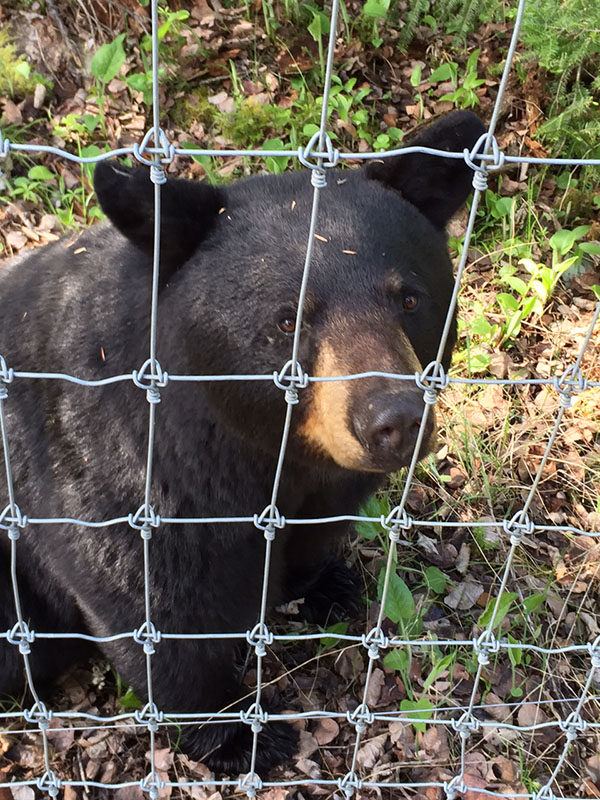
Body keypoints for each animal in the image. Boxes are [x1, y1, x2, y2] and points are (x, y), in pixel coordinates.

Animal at [0, 110, 485, 773]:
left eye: (409, 298)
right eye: (287, 320)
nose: (396, 420)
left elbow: (310, 531)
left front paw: (323, 583)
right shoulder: (107, 468)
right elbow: (146, 609)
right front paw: (240, 734)